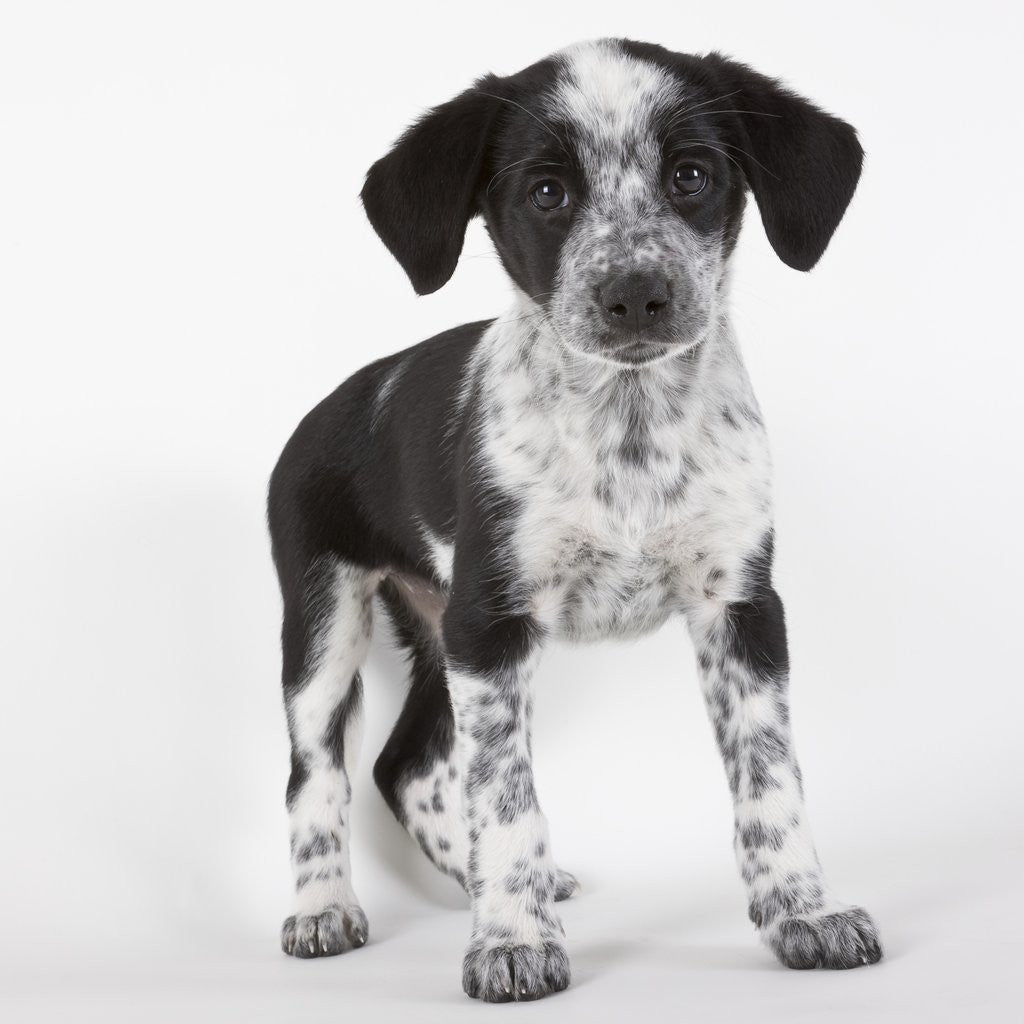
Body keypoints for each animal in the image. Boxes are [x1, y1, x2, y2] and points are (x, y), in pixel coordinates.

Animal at [270, 37, 880, 999]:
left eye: (692, 175)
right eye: (547, 192)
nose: (636, 293)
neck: (628, 434)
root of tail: (325, 408)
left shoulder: (741, 609)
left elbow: (771, 777)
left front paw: (805, 914)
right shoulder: (493, 624)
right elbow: (507, 795)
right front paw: (511, 939)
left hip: (437, 630)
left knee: (403, 764)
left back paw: (484, 876)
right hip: (330, 622)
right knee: (317, 773)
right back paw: (324, 907)